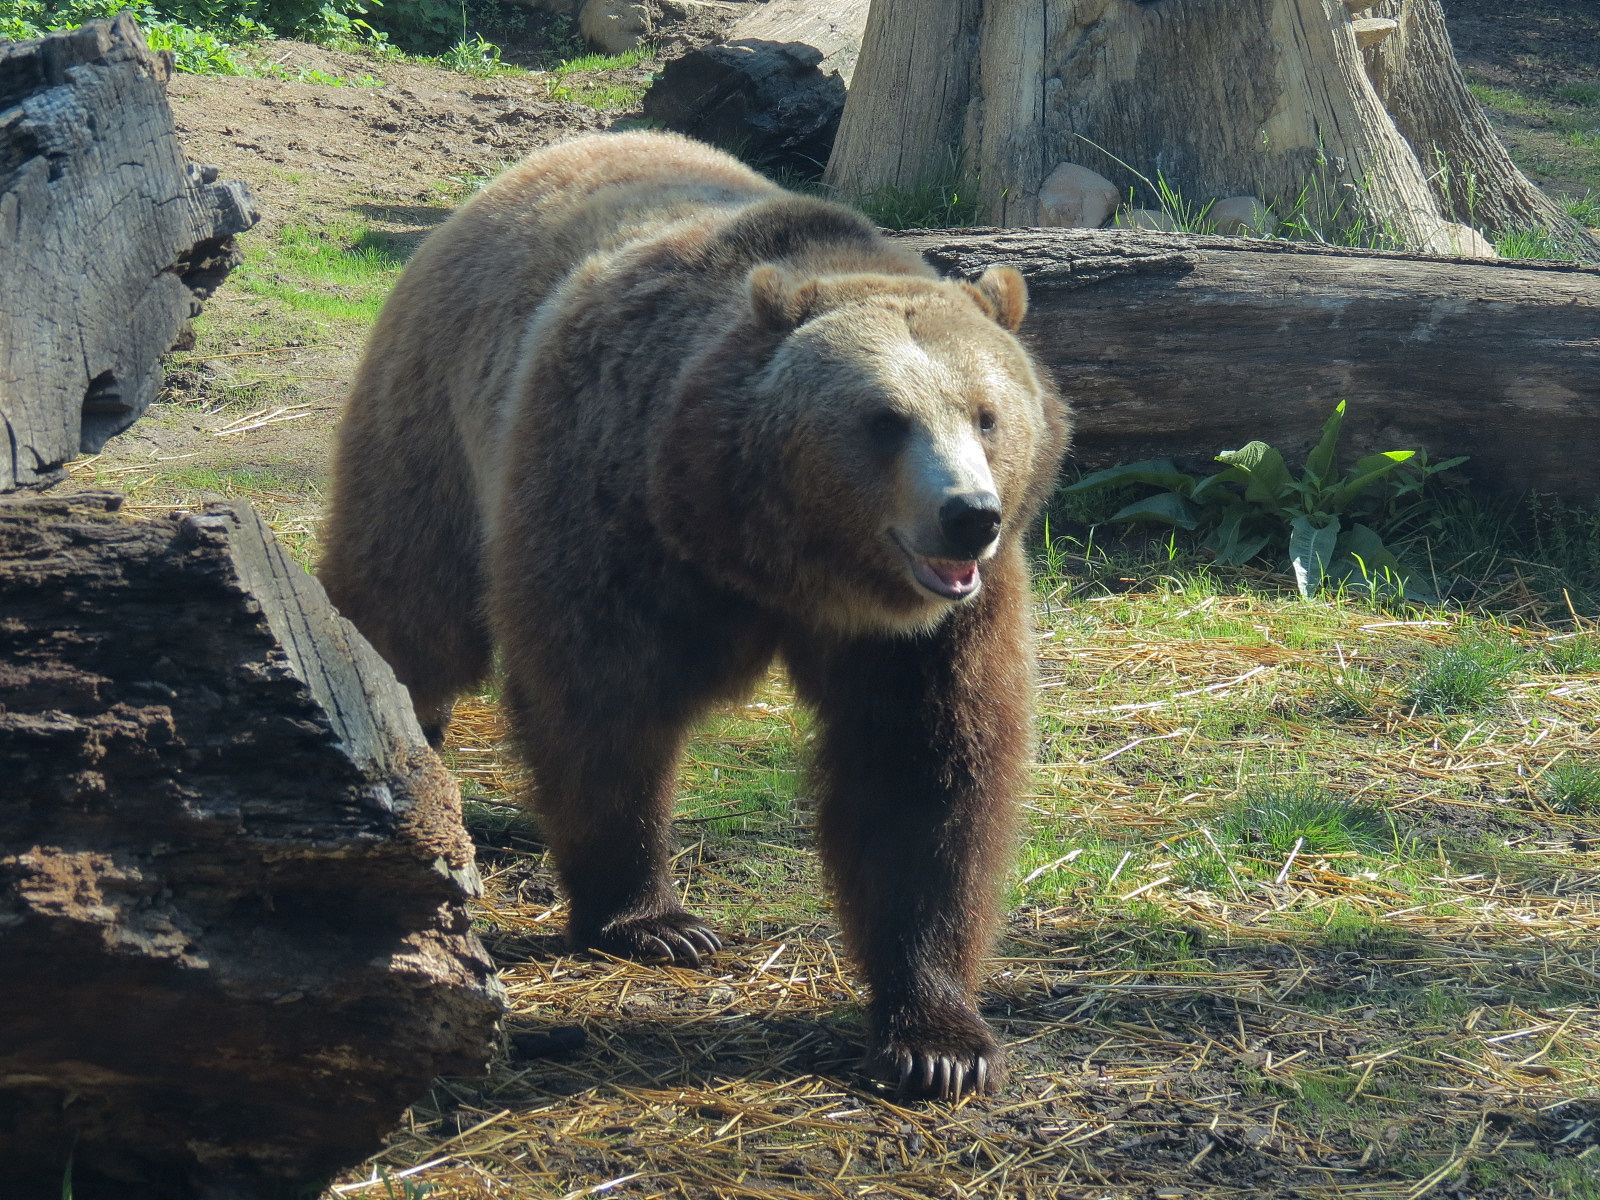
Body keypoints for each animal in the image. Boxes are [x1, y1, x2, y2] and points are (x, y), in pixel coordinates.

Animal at [319, 131, 1070, 1099]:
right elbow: (603, 709)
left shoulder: (933, 631)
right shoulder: (613, 504)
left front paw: (939, 1040)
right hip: (435, 433)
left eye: (987, 414)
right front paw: (653, 918)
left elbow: (927, 770)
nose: (968, 515)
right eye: (885, 419)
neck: (777, 553)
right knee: (405, 607)